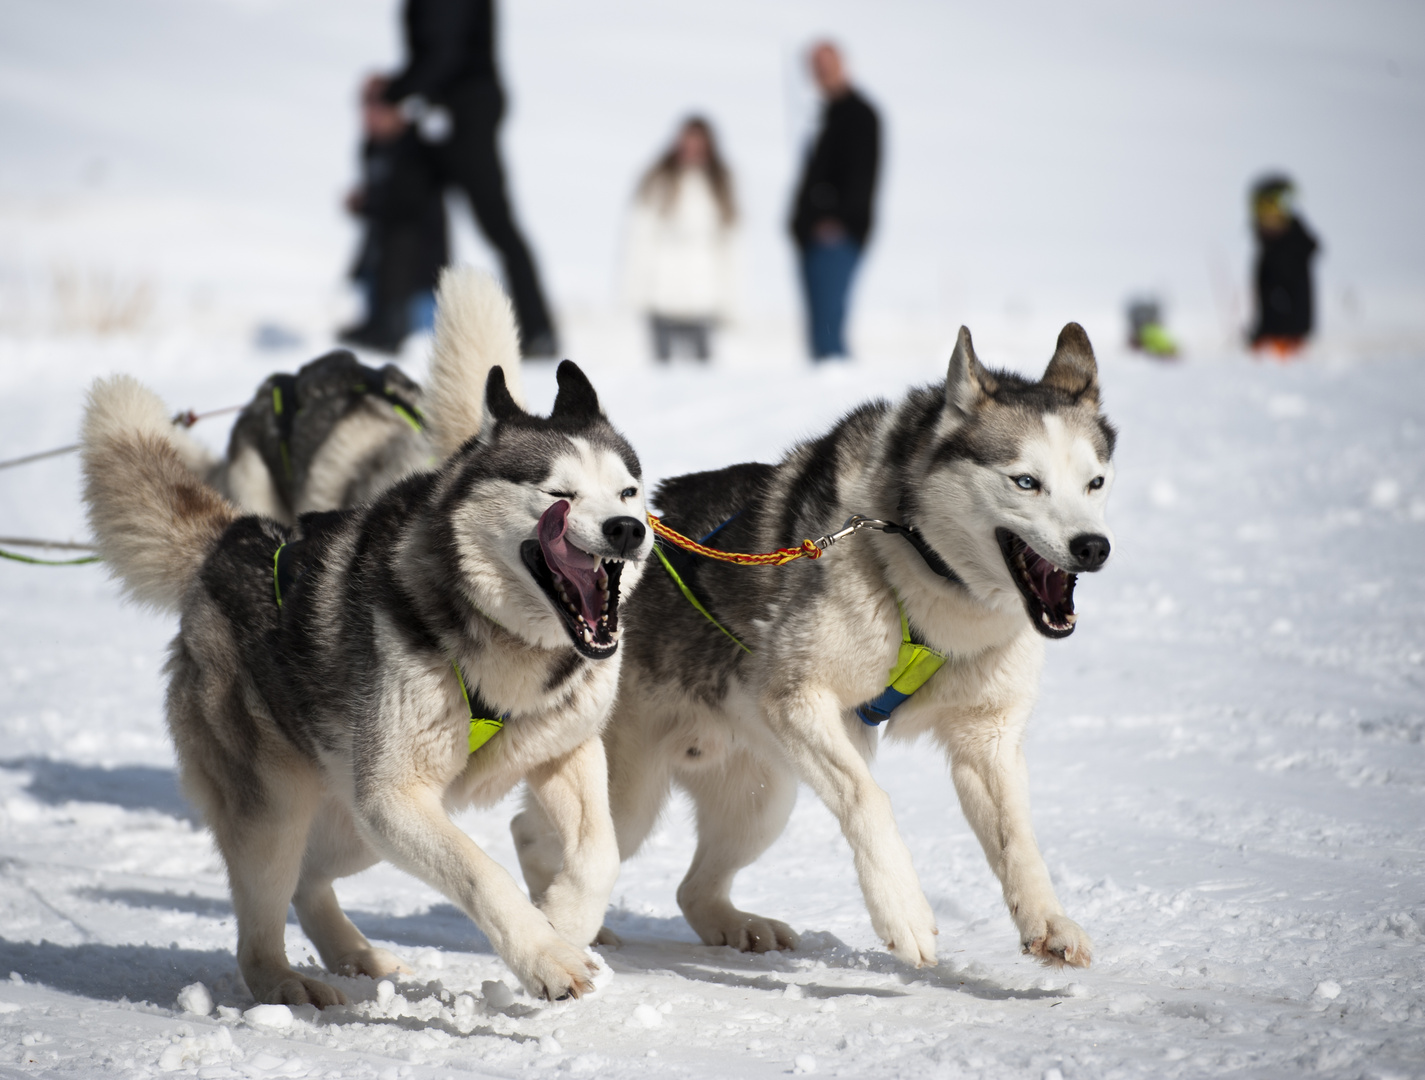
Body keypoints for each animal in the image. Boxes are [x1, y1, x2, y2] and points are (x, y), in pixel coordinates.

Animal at [513, 323, 1111, 974]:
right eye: (1026, 481)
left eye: (1095, 482)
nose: (1093, 547)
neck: (921, 567)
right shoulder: (797, 701)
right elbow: (868, 797)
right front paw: (902, 910)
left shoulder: (987, 739)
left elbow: (1017, 840)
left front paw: (1048, 922)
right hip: (629, 796)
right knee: (534, 837)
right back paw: (567, 924)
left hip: (763, 800)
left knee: (692, 888)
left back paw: (737, 925)